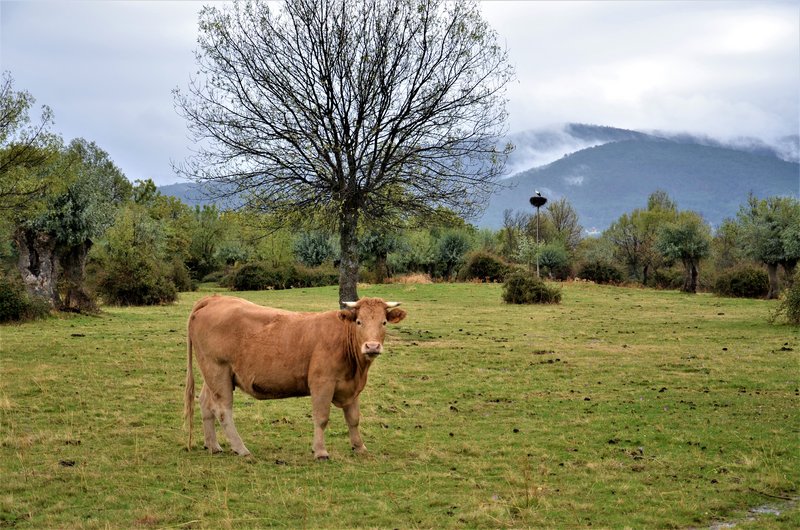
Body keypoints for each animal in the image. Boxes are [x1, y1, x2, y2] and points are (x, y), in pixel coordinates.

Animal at [182, 294, 406, 456]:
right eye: (359, 322)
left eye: (384, 322)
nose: (372, 346)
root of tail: (214, 298)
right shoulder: (322, 383)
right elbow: (321, 417)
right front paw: (320, 451)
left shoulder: (351, 387)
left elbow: (353, 419)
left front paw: (360, 447)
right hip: (217, 370)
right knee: (222, 410)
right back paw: (241, 449)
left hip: (213, 374)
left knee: (205, 403)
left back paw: (213, 445)